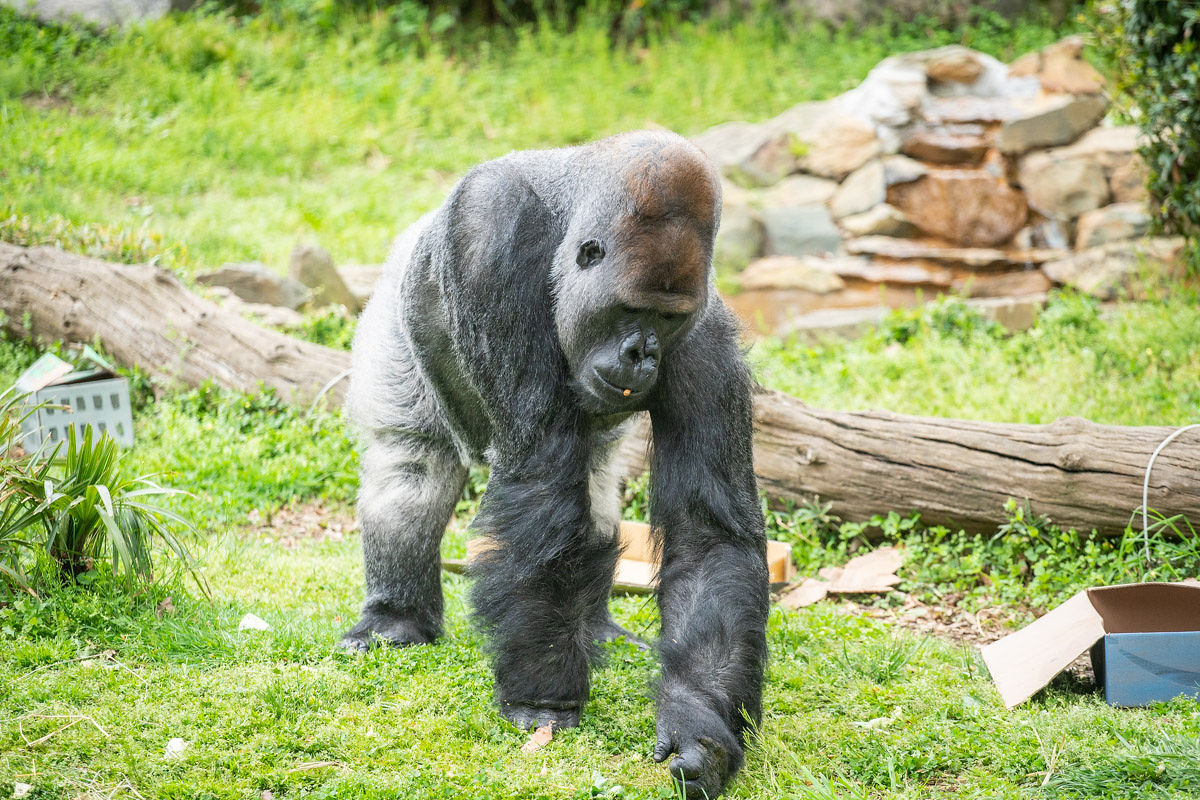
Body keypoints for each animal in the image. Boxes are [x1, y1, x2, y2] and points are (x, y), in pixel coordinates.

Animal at [338, 128, 768, 796]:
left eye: (666, 319)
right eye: (631, 310)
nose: (642, 354)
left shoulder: (706, 339)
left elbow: (708, 537)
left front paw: (700, 728)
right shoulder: (491, 234)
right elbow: (540, 481)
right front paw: (545, 696)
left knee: (595, 489)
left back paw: (593, 626)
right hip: (393, 301)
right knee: (411, 468)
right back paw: (396, 618)